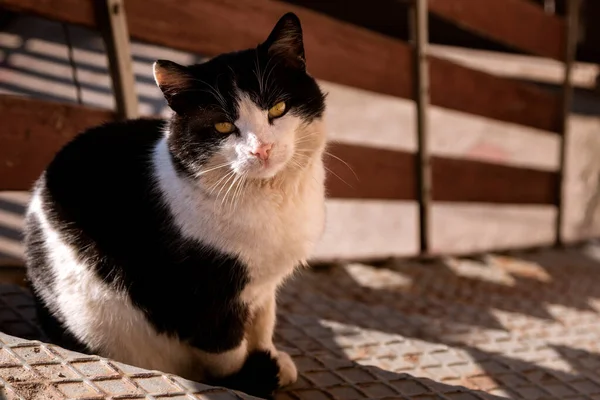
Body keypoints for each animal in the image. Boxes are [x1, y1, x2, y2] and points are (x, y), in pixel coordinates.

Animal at [24, 12, 328, 396]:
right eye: (222, 126)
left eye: (278, 108)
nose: (262, 149)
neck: (270, 200)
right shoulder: (199, 299)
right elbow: (227, 353)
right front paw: (248, 380)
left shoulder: (263, 288)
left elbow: (262, 324)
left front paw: (269, 358)